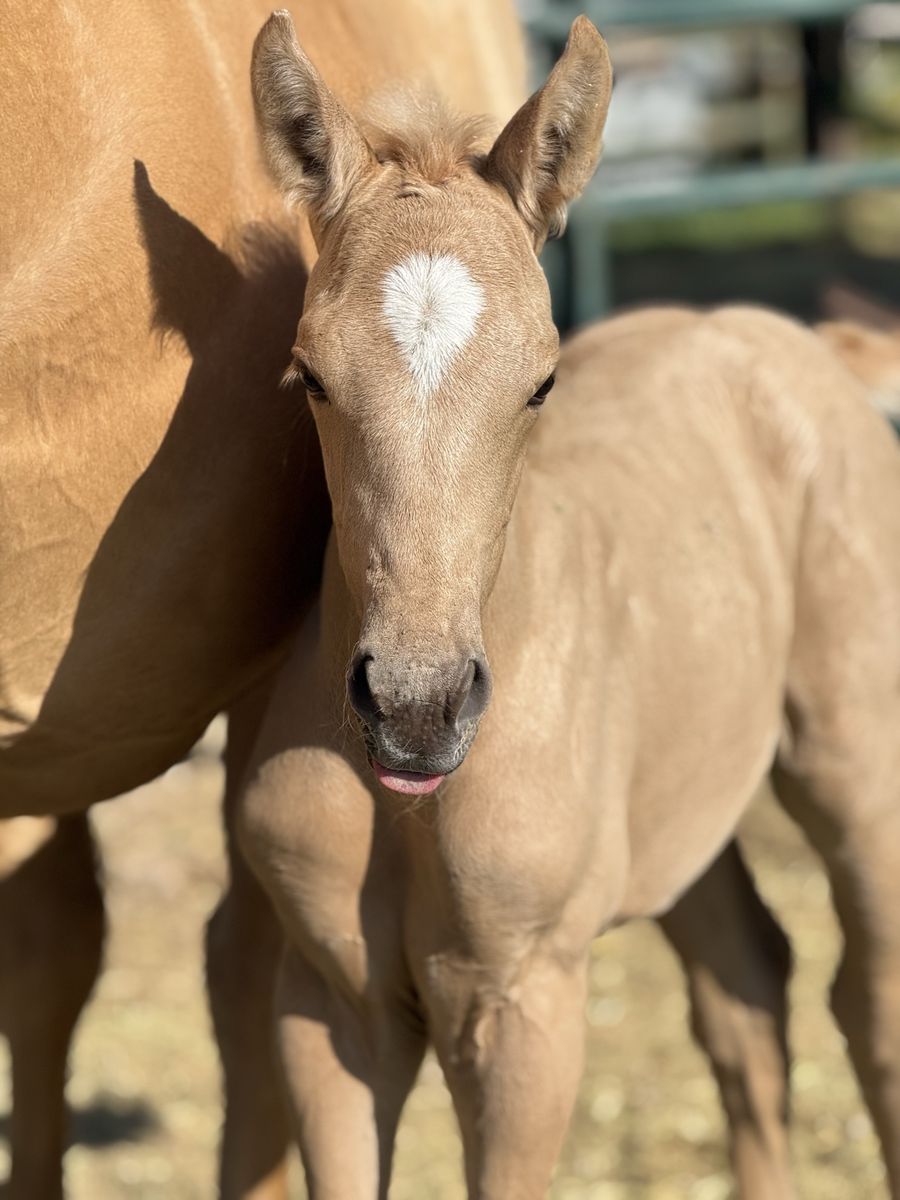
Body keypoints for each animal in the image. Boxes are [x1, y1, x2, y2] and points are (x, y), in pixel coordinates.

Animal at [236, 13, 900, 1198]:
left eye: (540, 382)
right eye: (308, 375)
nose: (415, 706)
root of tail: (799, 341)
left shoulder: (527, 1011)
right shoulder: (327, 1007)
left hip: (856, 763)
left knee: (868, 1007)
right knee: (748, 993)